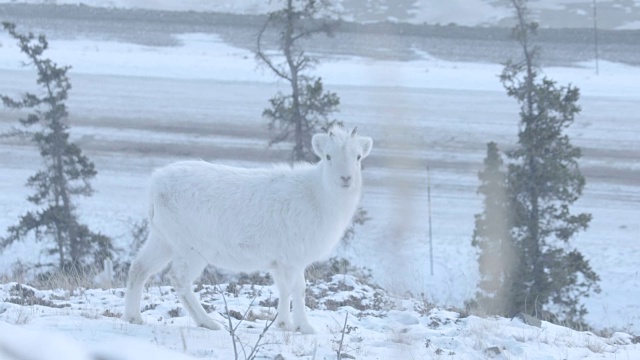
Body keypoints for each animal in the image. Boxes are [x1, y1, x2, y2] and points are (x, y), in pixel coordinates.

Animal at [123, 125, 372, 334]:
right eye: (328, 156)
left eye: (358, 157)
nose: (346, 178)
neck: (321, 198)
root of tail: (155, 186)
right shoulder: (293, 260)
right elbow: (298, 289)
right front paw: (305, 327)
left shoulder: (280, 263)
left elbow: (283, 289)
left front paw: (283, 324)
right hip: (192, 249)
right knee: (179, 279)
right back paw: (209, 323)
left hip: (162, 240)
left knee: (139, 268)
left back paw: (134, 317)